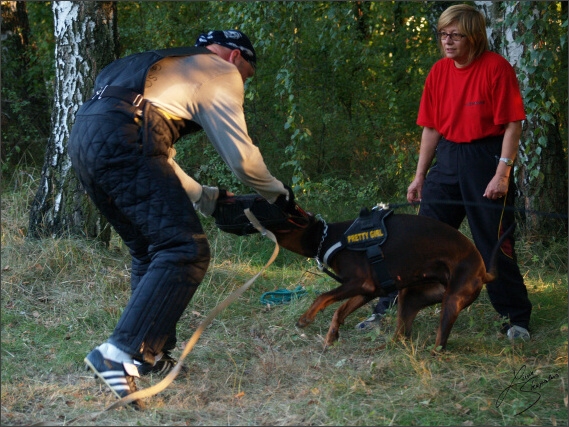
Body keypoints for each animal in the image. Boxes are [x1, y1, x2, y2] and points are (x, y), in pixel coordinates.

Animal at [212, 196, 496, 352]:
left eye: (261, 203)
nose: (218, 208)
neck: (326, 238)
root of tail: (484, 270)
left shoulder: (361, 282)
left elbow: (322, 298)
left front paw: (306, 319)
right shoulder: (369, 290)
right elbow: (339, 309)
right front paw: (331, 336)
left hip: (452, 299)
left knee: (439, 344)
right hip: (411, 297)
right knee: (400, 336)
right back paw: (380, 350)